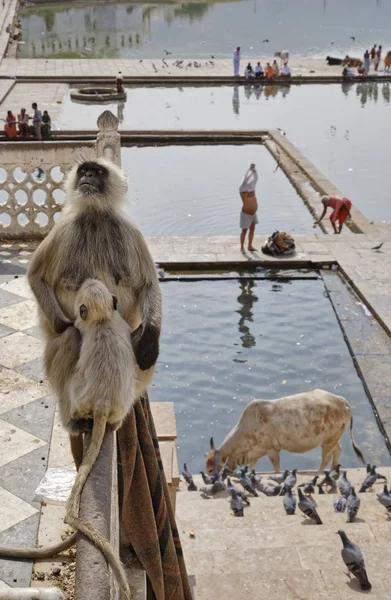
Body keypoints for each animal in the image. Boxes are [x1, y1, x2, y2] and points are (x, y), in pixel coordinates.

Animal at [28, 157, 162, 466]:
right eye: (84, 171)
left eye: (97, 172)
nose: (87, 176)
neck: (95, 216)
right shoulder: (64, 228)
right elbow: (36, 277)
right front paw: (64, 324)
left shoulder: (127, 229)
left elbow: (149, 286)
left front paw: (150, 341)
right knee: (69, 339)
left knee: (140, 347)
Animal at [207, 392, 366, 476]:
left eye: (210, 469)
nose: (209, 477)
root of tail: (343, 402)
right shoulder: (255, 453)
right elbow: (252, 467)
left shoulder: (272, 450)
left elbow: (276, 468)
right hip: (333, 437)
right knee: (337, 449)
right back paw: (333, 469)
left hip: (328, 440)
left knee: (326, 457)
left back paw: (318, 472)